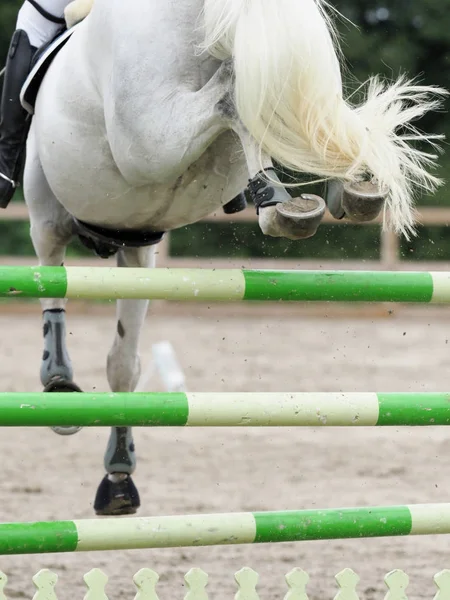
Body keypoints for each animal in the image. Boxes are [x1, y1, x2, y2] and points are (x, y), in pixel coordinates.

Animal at [23, 0, 446, 516]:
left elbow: (254, 110)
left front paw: (317, 187)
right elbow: (242, 104)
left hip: (136, 245)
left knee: (122, 361)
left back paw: (117, 475)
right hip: (55, 210)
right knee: (54, 279)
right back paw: (59, 384)